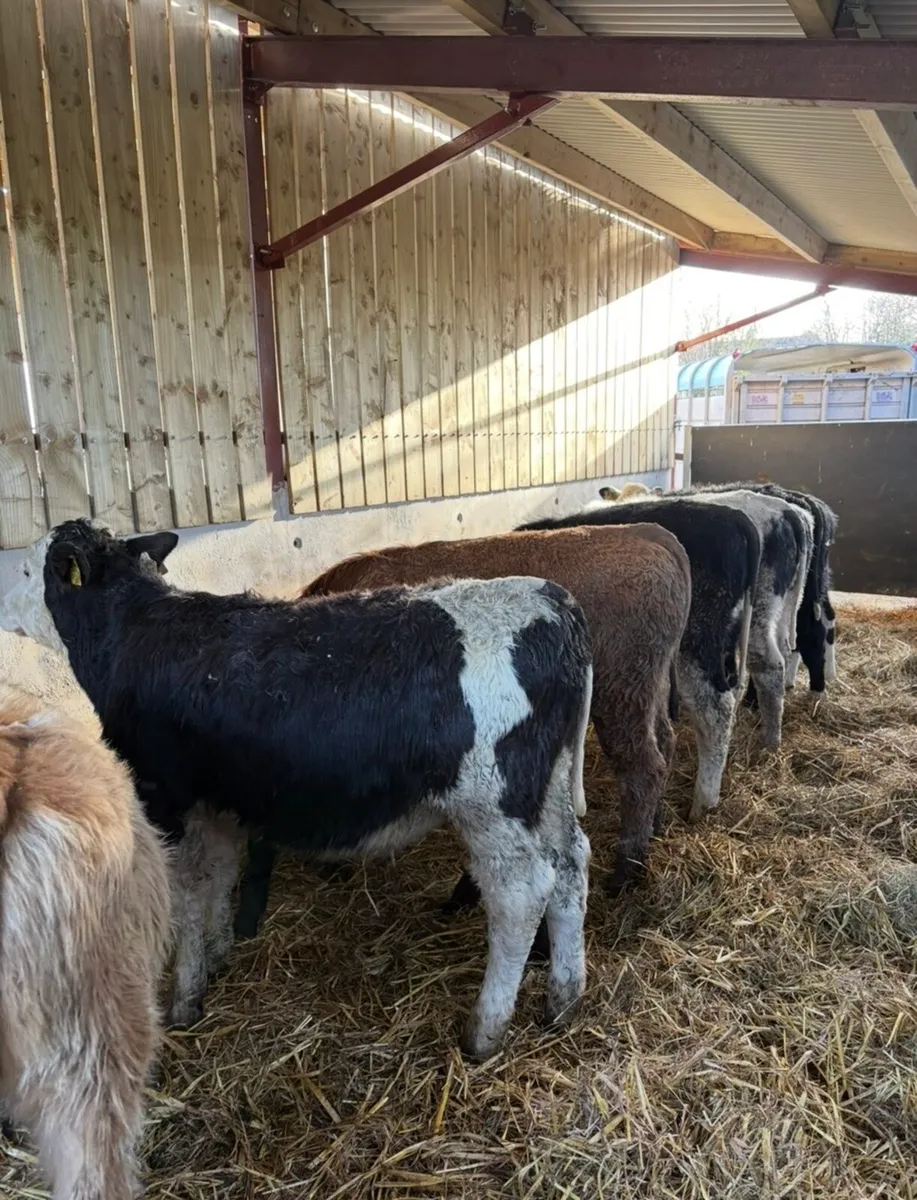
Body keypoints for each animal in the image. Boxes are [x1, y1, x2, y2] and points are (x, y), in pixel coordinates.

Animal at [0, 519, 593, 1062]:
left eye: (30, 568)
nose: (5, 605)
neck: (136, 633)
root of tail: (550, 597)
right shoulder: (219, 801)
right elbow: (218, 877)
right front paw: (218, 954)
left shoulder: (167, 798)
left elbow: (186, 897)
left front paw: (185, 999)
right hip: (548, 790)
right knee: (571, 865)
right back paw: (564, 998)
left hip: (495, 805)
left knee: (521, 893)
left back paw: (485, 1031)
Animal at [229, 523, 692, 941]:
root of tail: (648, 535)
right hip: (649, 691)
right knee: (665, 743)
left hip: (622, 696)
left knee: (643, 768)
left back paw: (625, 871)